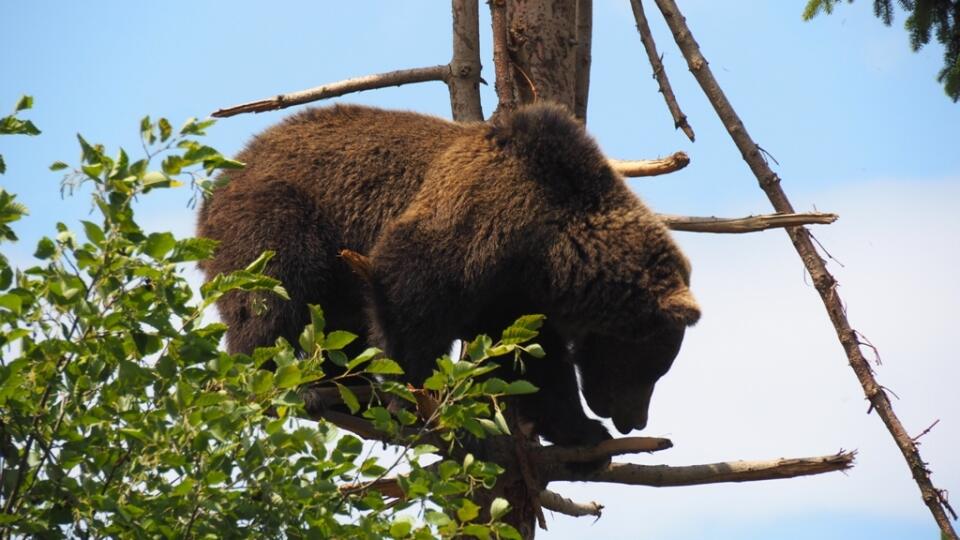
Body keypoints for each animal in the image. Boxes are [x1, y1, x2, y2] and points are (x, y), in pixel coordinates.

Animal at [199, 103, 700, 450]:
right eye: (649, 367)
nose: (634, 420)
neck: (550, 249)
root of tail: (221, 178)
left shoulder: (511, 294)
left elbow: (535, 362)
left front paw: (581, 430)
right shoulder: (473, 223)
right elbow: (409, 303)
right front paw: (421, 405)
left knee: (337, 325)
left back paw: (345, 392)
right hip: (282, 217)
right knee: (275, 296)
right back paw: (297, 387)